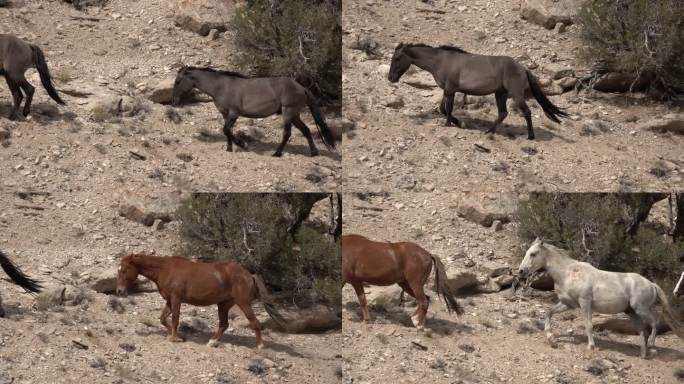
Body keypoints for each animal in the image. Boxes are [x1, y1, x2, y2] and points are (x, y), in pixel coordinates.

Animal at [116, 254, 288, 350]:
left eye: (124, 270)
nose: (119, 291)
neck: (165, 268)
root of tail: (249, 274)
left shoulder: (176, 298)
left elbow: (175, 318)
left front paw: (174, 338)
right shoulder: (170, 300)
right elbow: (163, 318)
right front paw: (180, 336)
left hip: (243, 303)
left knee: (255, 323)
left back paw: (259, 347)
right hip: (223, 304)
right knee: (224, 324)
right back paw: (212, 342)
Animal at [172, 67, 336, 157]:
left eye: (178, 81)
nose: (174, 101)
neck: (221, 86)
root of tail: (301, 87)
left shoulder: (234, 113)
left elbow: (227, 130)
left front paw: (242, 144)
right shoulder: (225, 114)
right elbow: (227, 131)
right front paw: (229, 148)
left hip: (288, 112)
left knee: (287, 133)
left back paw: (277, 153)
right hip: (295, 115)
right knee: (306, 130)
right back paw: (314, 153)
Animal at [388, 44, 568, 140]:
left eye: (397, 58)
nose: (391, 78)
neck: (441, 61)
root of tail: (523, 68)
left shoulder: (451, 90)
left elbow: (448, 108)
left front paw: (450, 124)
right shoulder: (447, 90)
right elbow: (442, 109)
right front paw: (459, 123)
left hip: (515, 95)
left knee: (526, 112)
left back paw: (530, 136)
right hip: (500, 94)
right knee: (503, 113)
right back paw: (489, 131)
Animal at [520, 238, 684, 358]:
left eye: (533, 254)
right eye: (526, 252)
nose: (521, 271)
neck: (569, 273)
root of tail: (651, 284)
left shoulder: (585, 303)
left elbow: (588, 325)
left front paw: (591, 346)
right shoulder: (568, 304)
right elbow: (548, 313)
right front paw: (551, 339)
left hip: (641, 309)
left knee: (654, 323)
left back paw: (651, 345)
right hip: (632, 312)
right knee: (642, 330)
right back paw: (643, 354)